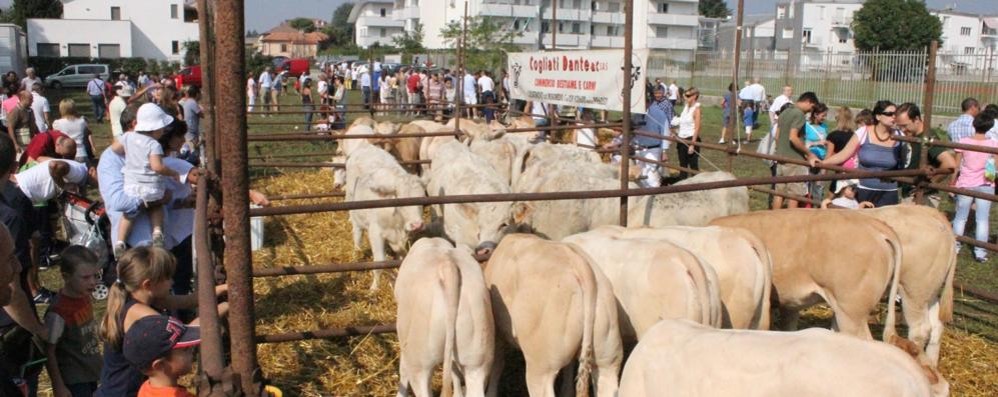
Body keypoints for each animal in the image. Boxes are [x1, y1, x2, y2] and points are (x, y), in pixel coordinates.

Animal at [344, 142, 426, 288]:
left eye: (422, 199)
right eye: (401, 199)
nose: (417, 225)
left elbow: (401, 257)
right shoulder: (375, 232)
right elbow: (379, 262)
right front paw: (374, 288)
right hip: (353, 208)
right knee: (357, 234)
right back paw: (356, 253)